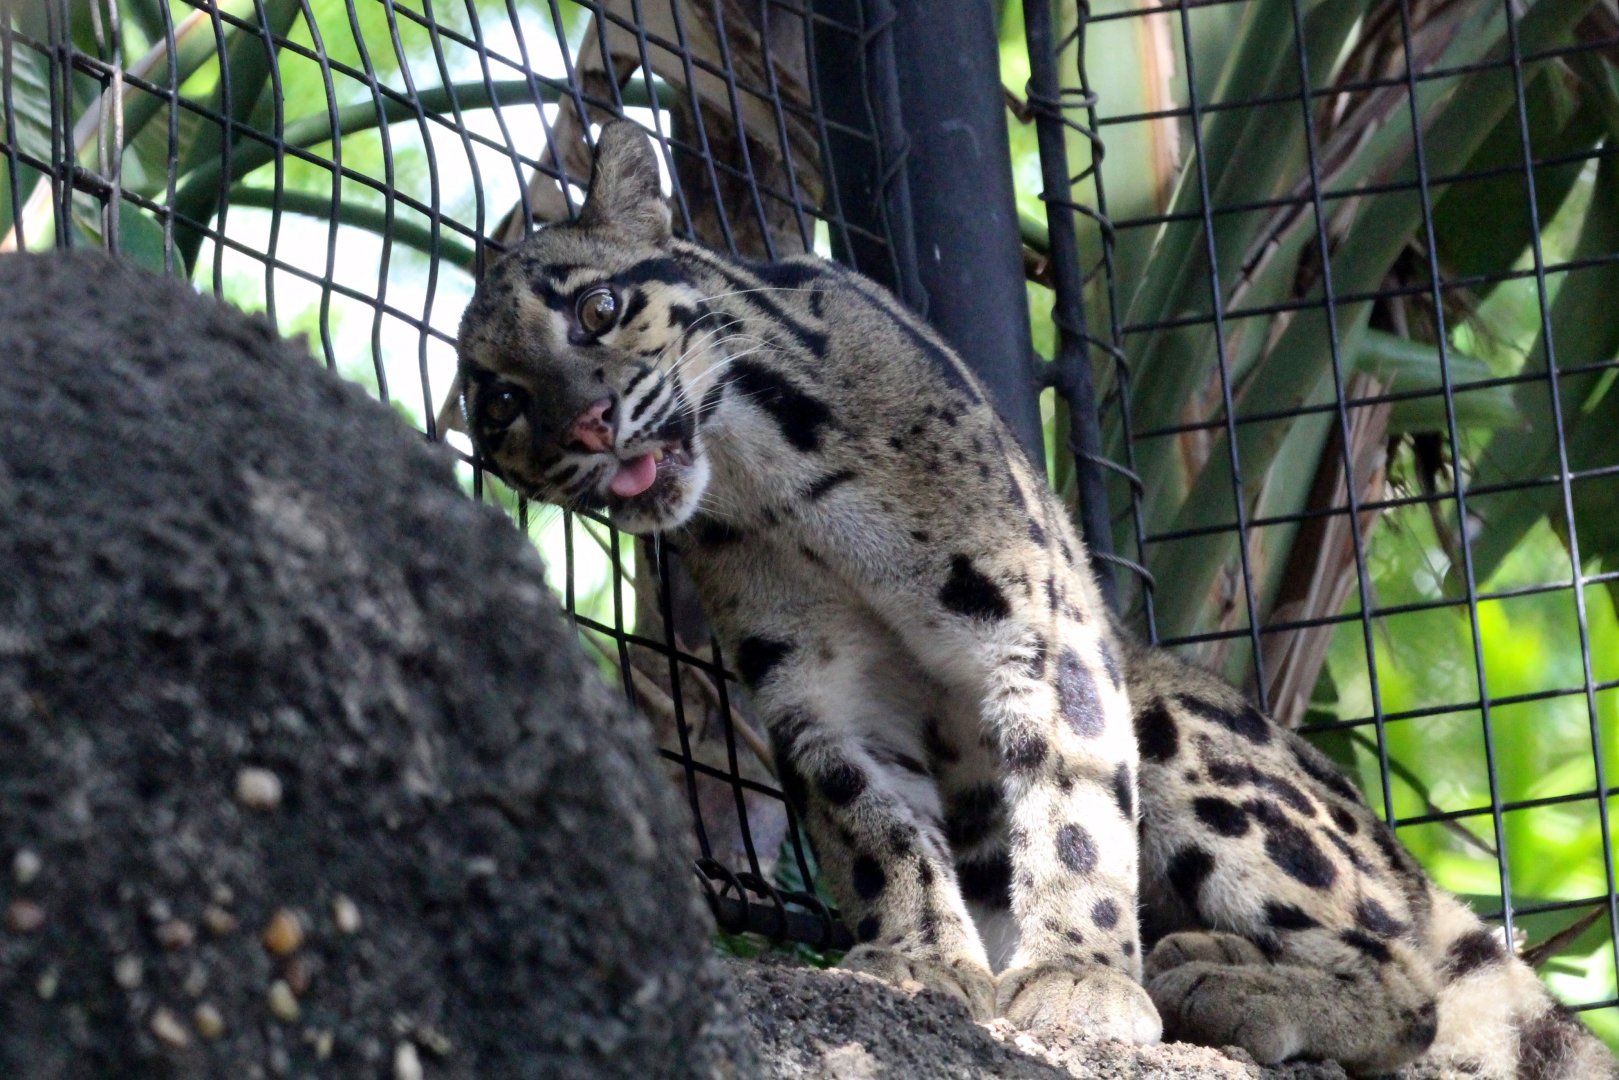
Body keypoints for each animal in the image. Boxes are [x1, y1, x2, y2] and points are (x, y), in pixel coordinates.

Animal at [454, 119, 1616, 1078]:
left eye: (598, 308)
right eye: (501, 404)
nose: (584, 427)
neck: (770, 483)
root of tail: (1414, 879)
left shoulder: (1043, 626)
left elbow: (1072, 812)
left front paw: (1079, 976)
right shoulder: (817, 697)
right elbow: (875, 829)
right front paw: (919, 956)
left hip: (1189, 726)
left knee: (1407, 983)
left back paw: (1226, 981)